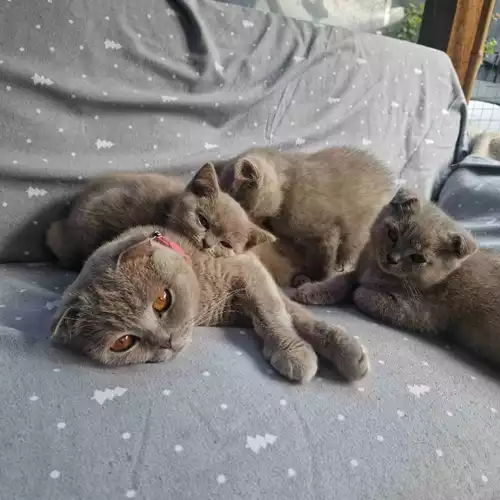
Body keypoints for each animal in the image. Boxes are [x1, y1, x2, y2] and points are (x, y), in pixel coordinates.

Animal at [51, 224, 372, 382]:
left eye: (161, 301)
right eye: (123, 342)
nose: (166, 342)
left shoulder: (250, 271)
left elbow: (277, 314)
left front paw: (330, 350)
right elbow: (284, 315)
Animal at [292, 189, 500, 370]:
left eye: (418, 258)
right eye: (392, 234)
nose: (392, 258)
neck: (375, 270)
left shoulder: (420, 312)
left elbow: (364, 295)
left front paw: (358, 291)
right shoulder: (359, 270)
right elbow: (341, 281)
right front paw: (310, 290)